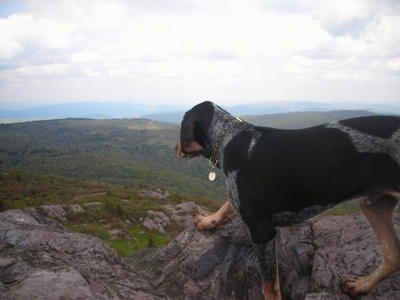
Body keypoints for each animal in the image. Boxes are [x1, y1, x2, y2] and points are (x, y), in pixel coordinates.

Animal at [177, 101, 400, 300]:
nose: (176, 147)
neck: (231, 140)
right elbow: (226, 205)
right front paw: (209, 221)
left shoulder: (262, 232)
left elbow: (269, 286)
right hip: (374, 205)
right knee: (392, 257)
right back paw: (361, 286)